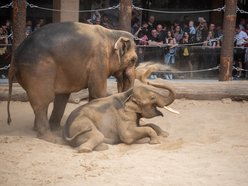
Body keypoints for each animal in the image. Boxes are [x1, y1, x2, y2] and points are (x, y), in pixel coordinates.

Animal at [7, 21, 138, 141]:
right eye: (133, 60)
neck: (111, 34)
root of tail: (15, 57)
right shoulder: (98, 61)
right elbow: (98, 93)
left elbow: (65, 95)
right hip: (38, 71)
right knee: (43, 102)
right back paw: (49, 137)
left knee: (59, 98)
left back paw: (52, 130)